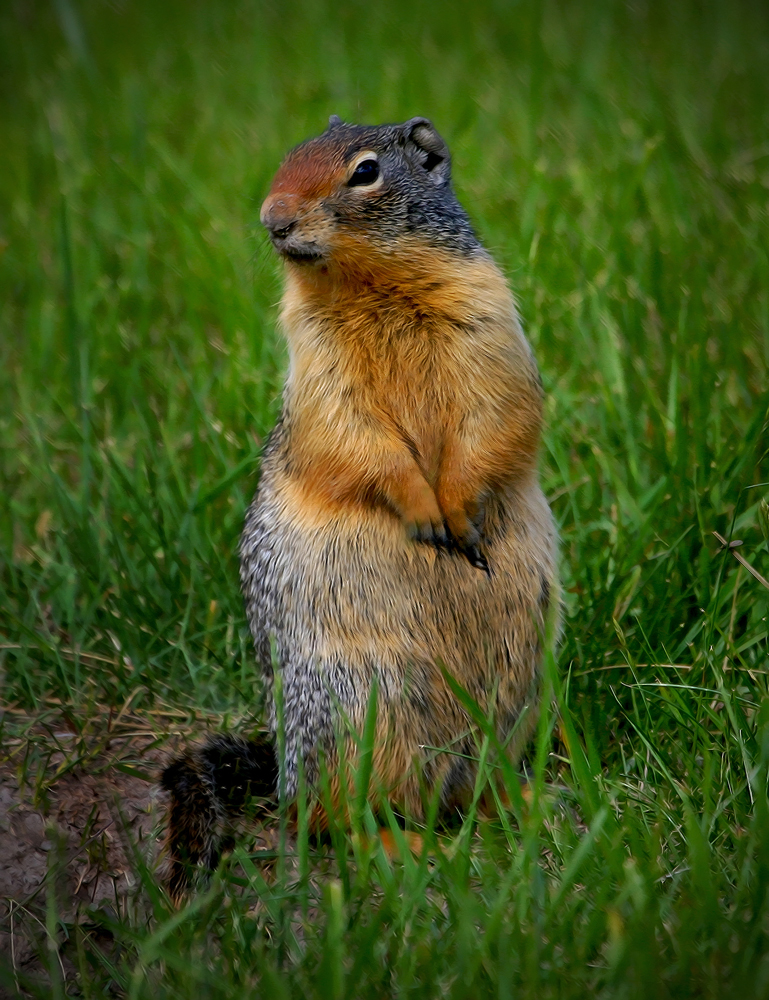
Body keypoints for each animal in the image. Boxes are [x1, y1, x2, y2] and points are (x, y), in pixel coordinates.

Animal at [164, 119, 560, 900]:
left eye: (365, 171)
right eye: (287, 157)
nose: (272, 219)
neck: (371, 288)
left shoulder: (489, 317)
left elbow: (496, 415)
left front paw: (459, 511)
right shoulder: (317, 366)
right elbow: (355, 439)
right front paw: (427, 513)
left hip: (515, 695)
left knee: (466, 784)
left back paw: (524, 802)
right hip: (360, 712)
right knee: (323, 819)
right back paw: (399, 846)